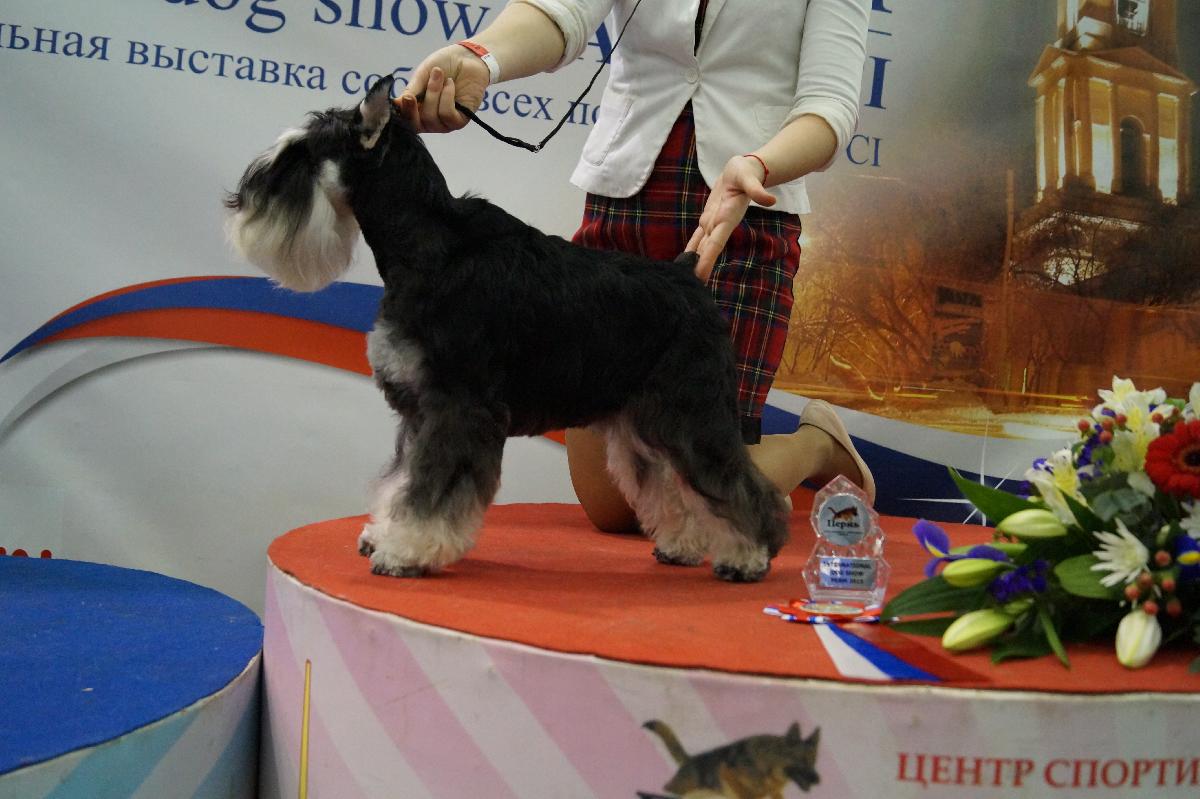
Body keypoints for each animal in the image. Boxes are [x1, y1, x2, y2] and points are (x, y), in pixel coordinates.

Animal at [226, 76, 788, 582]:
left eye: (301, 154)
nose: (238, 204)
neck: (428, 244)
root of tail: (688, 274)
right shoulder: (420, 408)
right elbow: (403, 478)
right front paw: (383, 533)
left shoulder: (456, 405)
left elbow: (430, 488)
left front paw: (405, 551)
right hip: (645, 422)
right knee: (672, 484)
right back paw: (683, 545)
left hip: (693, 412)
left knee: (736, 483)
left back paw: (749, 556)